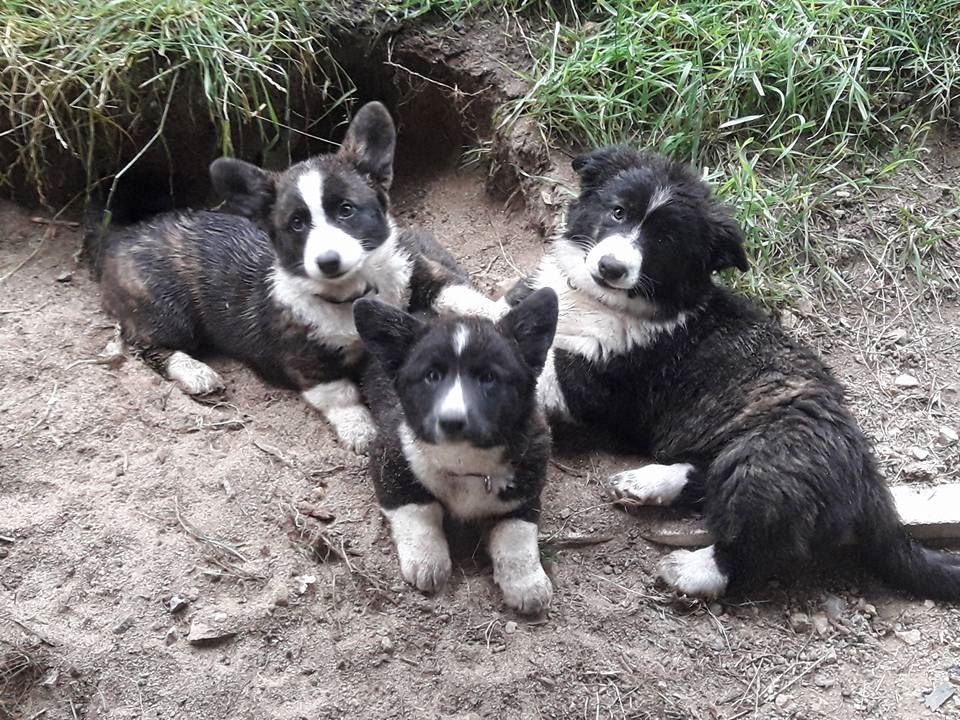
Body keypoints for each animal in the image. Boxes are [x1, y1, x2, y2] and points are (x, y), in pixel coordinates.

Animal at [94, 101, 484, 450]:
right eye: (296, 223)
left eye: (346, 210)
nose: (328, 261)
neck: (352, 292)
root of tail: (120, 237)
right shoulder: (306, 360)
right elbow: (340, 395)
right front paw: (360, 431)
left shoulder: (417, 271)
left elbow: (457, 293)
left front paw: (491, 310)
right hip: (168, 313)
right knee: (144, 344)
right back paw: (194, 372)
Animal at [352, 290, 564, 616]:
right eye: (431, 376)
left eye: (488, 377)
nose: (452, 421)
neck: (464, 461)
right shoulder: (390, 461)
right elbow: (420, 509)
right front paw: (427, 561)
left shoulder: (526, 487)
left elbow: (517, 534)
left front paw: (527, 584)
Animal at [502, 146, 960, 600]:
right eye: (618, 212)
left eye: (664, 240)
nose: (611, 268)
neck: (602, 300)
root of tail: (870, 485)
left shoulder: (592, 387)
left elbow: (545, 367)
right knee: (704, 476)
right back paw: (647, 483)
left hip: (763, 460)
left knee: (758, 546)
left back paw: (688, 570)